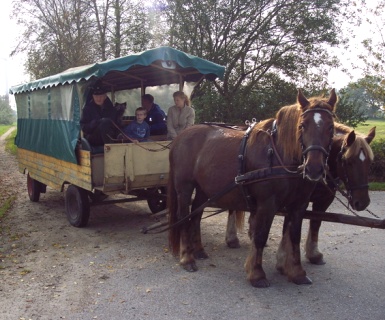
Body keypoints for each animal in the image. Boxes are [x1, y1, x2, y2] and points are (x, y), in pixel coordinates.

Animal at [168, 88, 336, 288]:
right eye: (302, 125)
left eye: (331, 127)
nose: (314, 168)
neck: (279, 155)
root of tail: (180, 137)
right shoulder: (267, 204)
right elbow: (261, 236)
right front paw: (256, 274)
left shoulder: (298, 205)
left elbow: (294, 236)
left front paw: (296, 272)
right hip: (185, 188)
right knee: (184, 217)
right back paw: (187, 258)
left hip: (203, 189)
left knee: (196, 215)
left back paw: (199, 250)